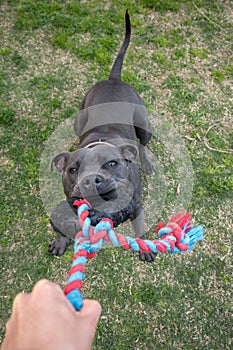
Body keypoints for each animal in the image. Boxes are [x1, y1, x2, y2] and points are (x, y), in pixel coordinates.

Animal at [49, 10, 155, 262]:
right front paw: (60, 241)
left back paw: (147, 162)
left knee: (143, 144)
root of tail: (114, 79)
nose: (91, 181)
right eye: (73, 170)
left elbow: (140, 226)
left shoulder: (136, 205)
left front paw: (145, 247)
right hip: (79, 119)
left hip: (143, 123)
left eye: (112, 164)